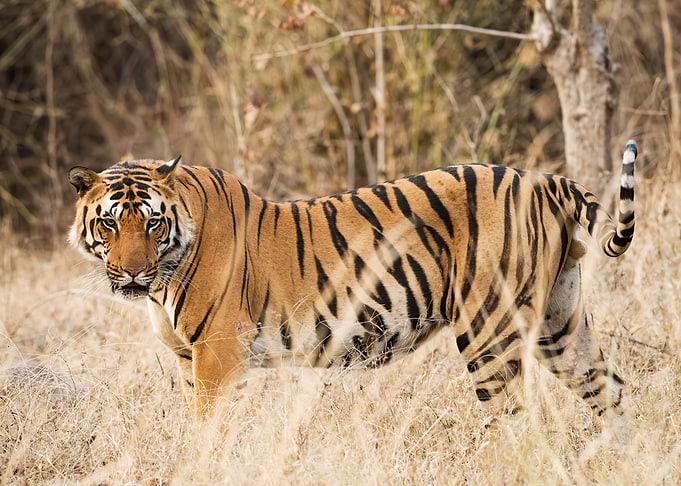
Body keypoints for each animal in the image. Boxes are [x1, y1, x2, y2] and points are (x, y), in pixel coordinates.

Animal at [68, 140, 637, 425]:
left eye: (152, 224)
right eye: (110, 224)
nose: (133, 272)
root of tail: (543, 180)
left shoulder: (217, 354)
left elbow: (206, 433)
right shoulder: (190, 359)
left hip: (488, 331)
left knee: (515, 423)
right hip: (560, 322)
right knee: (611, 392)